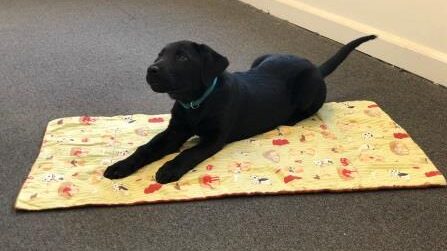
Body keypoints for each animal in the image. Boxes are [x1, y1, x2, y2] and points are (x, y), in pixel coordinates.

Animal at [103, 35, 376, 183]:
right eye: (160, 54)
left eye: (182, 57)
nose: (152, 69)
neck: (196, 102)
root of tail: (315, 68)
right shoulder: (175, 132)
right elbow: (146, 148)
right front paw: (121, 165)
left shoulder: (214, 138)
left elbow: (187, 153)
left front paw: (169, 168)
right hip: (262, 58)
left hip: (309, 89)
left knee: (309, 109)